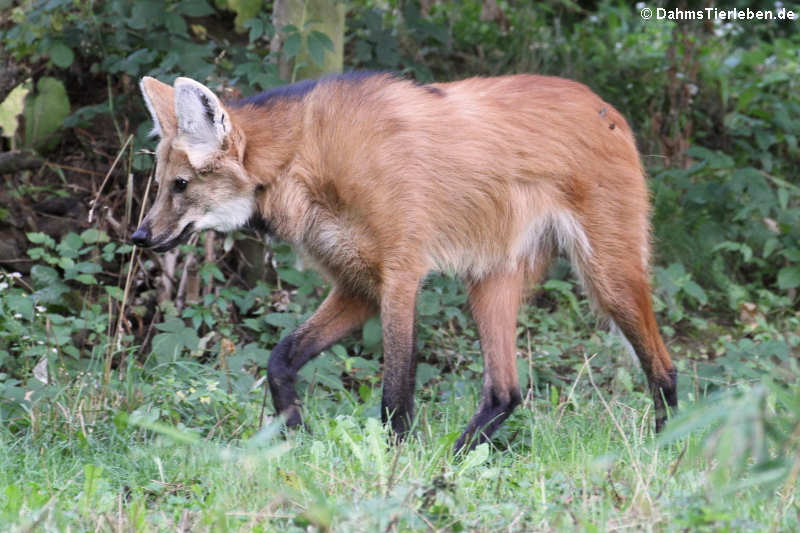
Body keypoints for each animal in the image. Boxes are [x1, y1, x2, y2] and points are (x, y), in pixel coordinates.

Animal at [134, 71, 680, 448]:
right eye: (159, 185)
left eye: (181, 185)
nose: (140, 235)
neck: (305, 161)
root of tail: (605, 106)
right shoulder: (357, 286)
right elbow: (280, 357)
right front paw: (294, 434)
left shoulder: (400, 275)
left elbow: (395, 392)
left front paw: (394, 461)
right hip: (490, 279)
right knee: (506, 391)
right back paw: (454, 459)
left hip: (607, 275)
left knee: (664, 366)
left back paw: (667, 447)